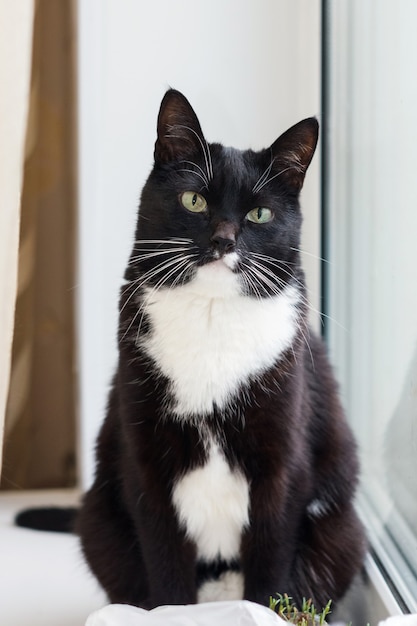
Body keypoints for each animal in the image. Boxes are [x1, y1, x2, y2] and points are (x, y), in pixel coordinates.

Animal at [75, 89, 364, 608]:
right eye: (194, 200)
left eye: (259, 214)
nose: (224, 240)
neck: (211, 315)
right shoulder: (146, 462)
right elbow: (165, 563)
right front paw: (173, 614)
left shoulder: (283, 462)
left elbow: (270, 564)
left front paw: (259, 611)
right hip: (98, 523)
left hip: (344, 532)